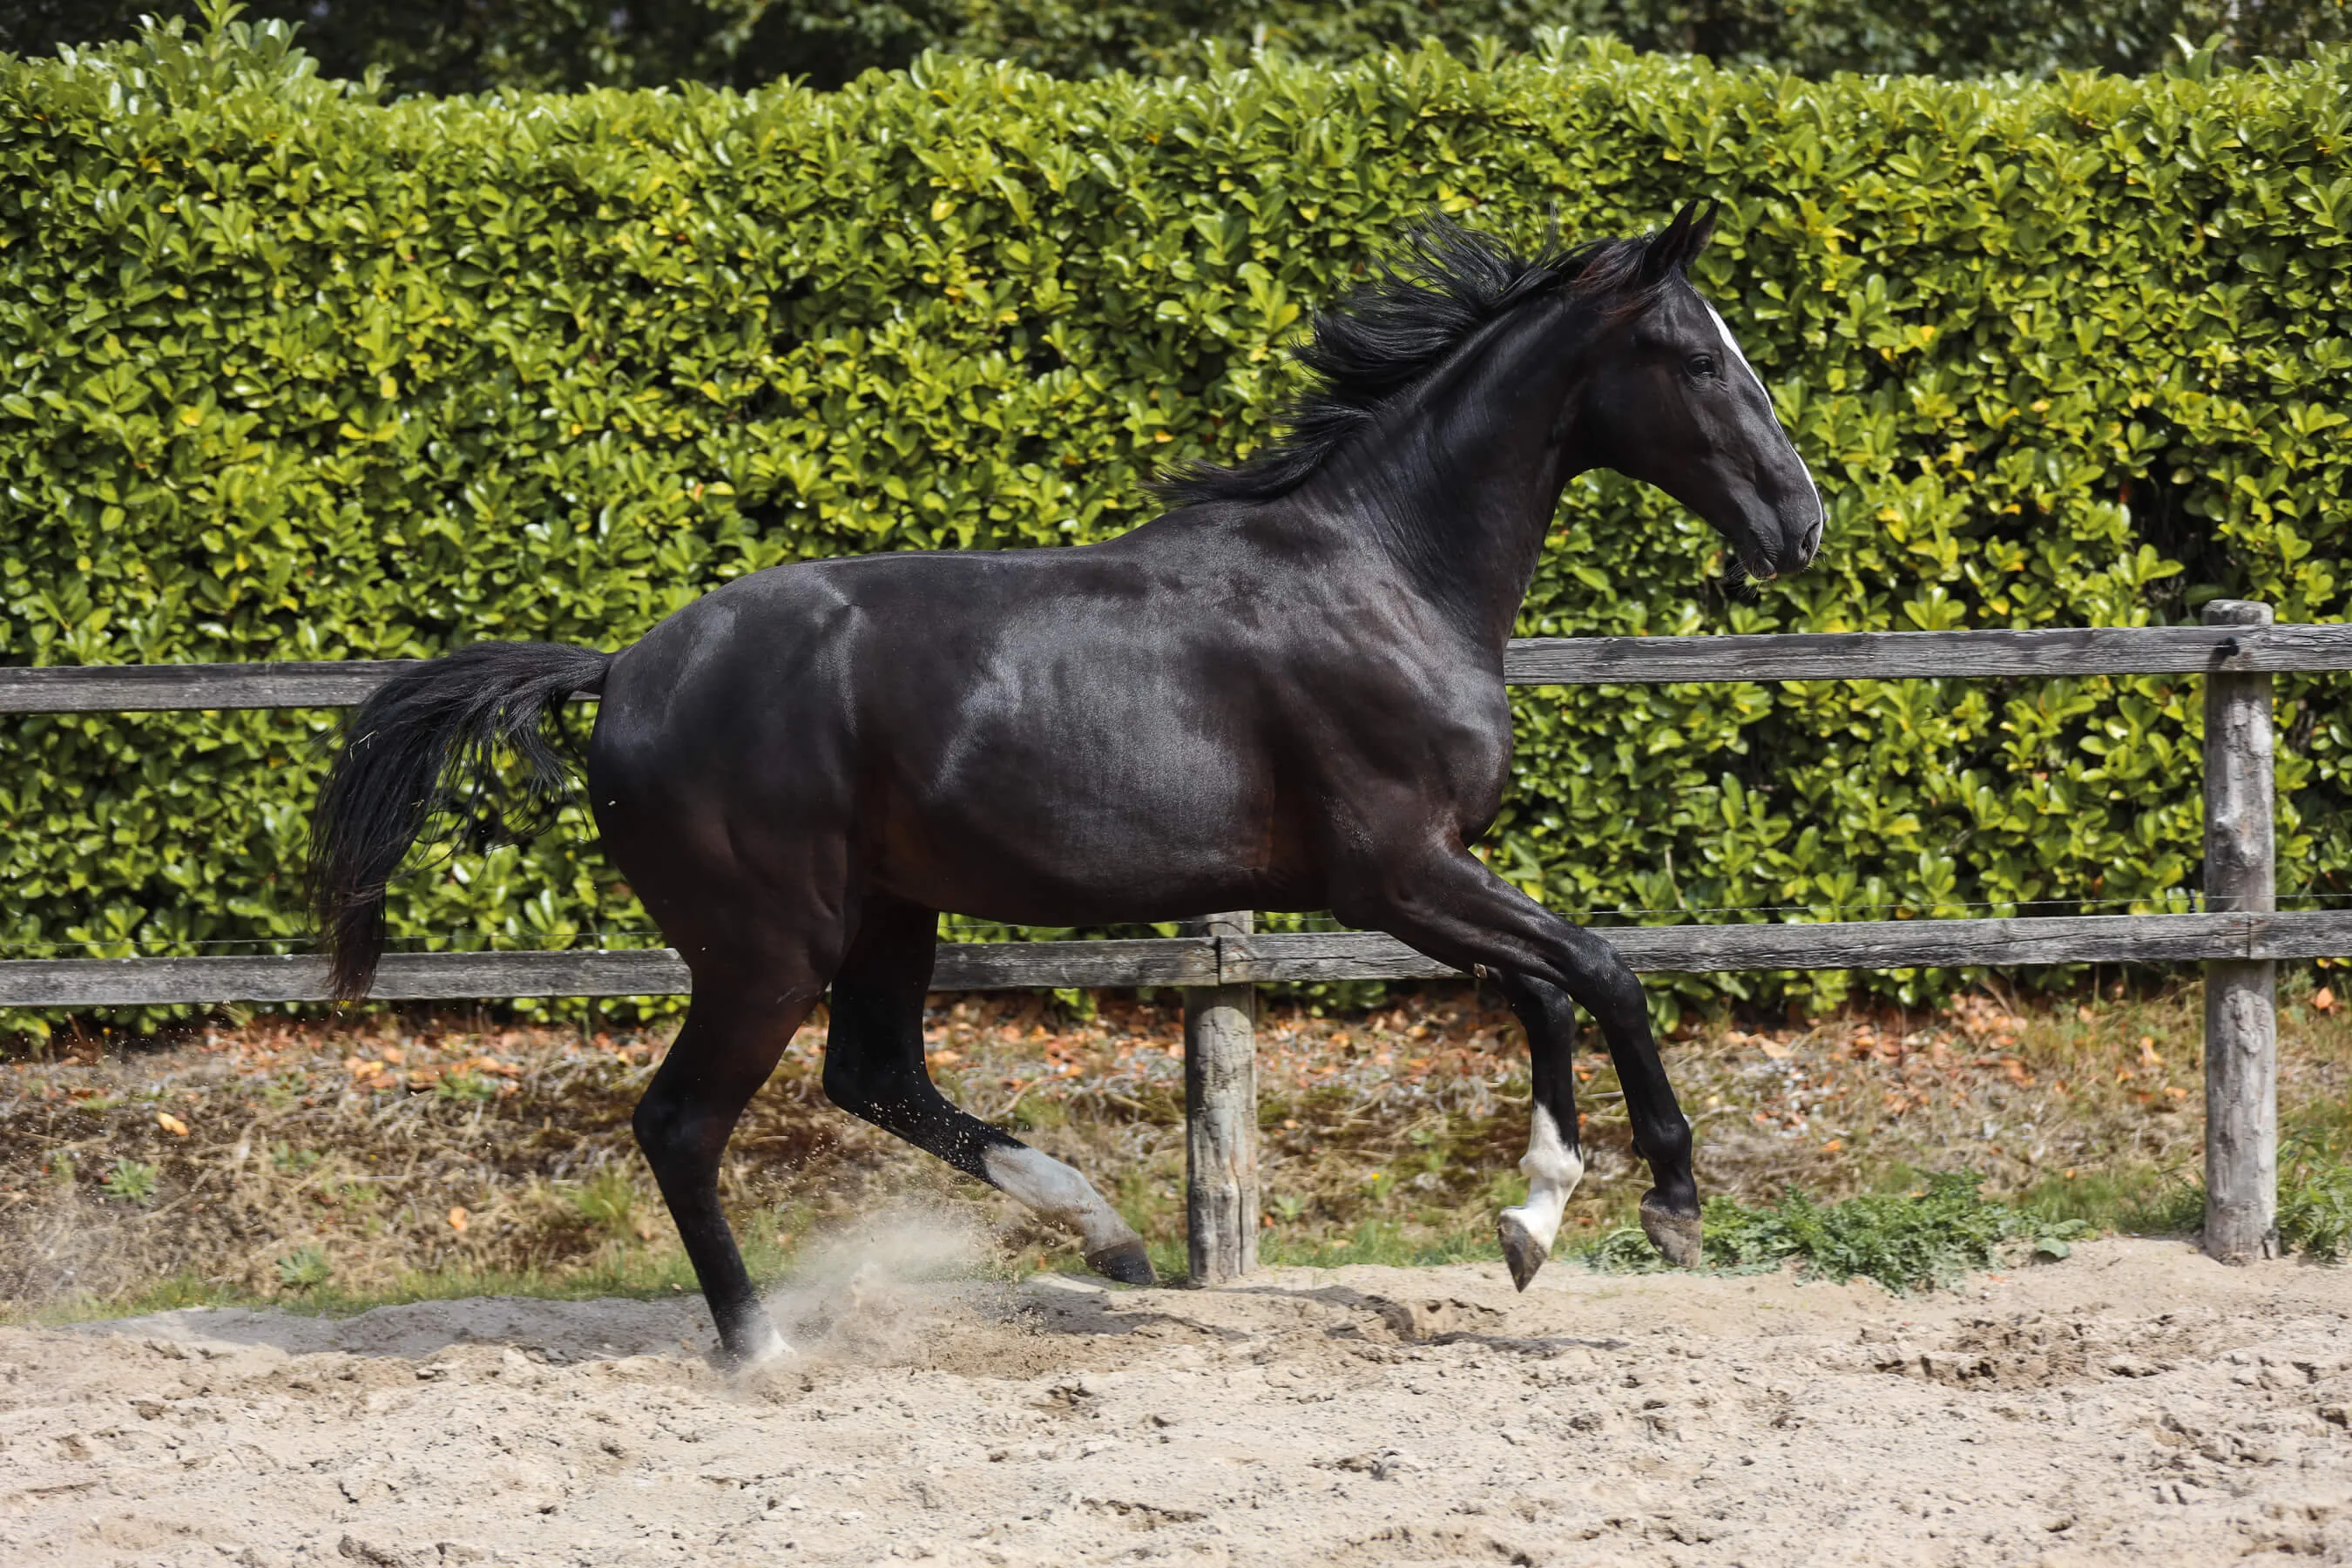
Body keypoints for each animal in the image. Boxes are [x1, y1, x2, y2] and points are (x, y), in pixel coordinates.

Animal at [310, 199, 1823, 1368]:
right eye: (1697, 358)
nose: (1801, 522)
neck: (1385, 575)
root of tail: (618, 670)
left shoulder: (1414, 879)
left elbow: (1544, 993)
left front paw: (1531, 1221)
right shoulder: (1394, 869)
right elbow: (1600, 970)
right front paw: (1670, 1203)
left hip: (888, 915)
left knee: (875, 1076)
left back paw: (1113, 1238)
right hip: (764, 948)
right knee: (683, 1124)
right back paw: (764, 1345)